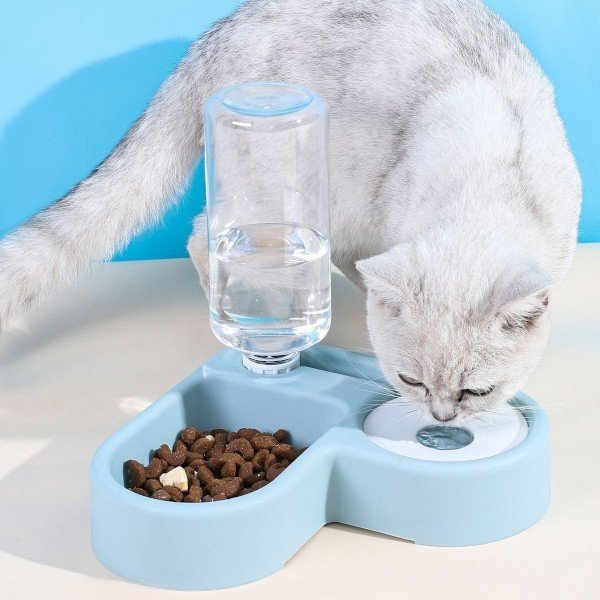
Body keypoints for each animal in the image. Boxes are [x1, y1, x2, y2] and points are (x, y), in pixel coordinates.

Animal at [0, 0, 581, 421]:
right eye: (411, 381)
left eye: (475, 392)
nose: (441, 418)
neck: (491, 186)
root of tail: (214, 35)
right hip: (292, 194)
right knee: (201, 236)